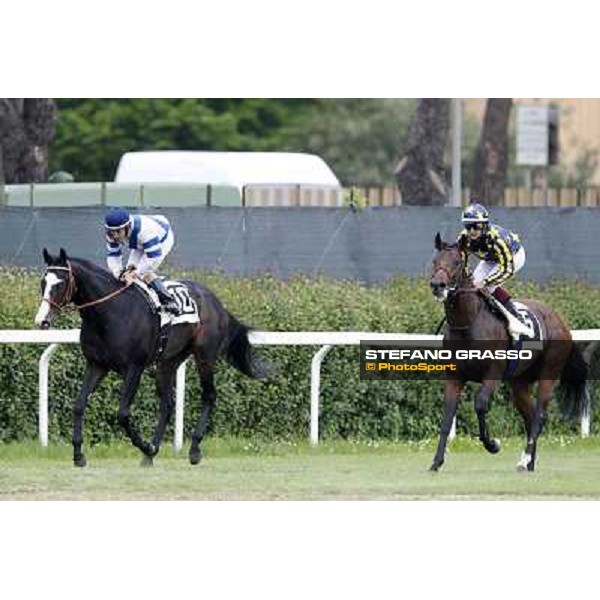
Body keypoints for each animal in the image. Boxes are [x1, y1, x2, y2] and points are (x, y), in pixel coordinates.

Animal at [32, 248, 268, 468]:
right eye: (43, 282)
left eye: (61, 283)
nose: (41, 321)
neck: (110, 313)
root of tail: (217, 302)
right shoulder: (96, 365)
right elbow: (79, 405)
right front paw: (79, 455)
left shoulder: (134, 367)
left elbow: (123, 414)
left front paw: (143, 445)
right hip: (167, 362)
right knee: (168, 403)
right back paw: (151, 453)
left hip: (204, 356)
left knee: (209, 396)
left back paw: (192, 449)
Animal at [428, 234, 588, 474]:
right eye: (435, 261)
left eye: (456, 262)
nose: (438, 285)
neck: (469, 322)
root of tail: (561, 320)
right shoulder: (454, 377)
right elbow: (447, 417)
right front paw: (436, 462)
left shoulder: (493, 373)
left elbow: (480, 404)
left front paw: (493, 444)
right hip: (520, 382)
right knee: (529, 417)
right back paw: (529, 463)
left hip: (549, 374)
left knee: (539, 416)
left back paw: (525, 460)